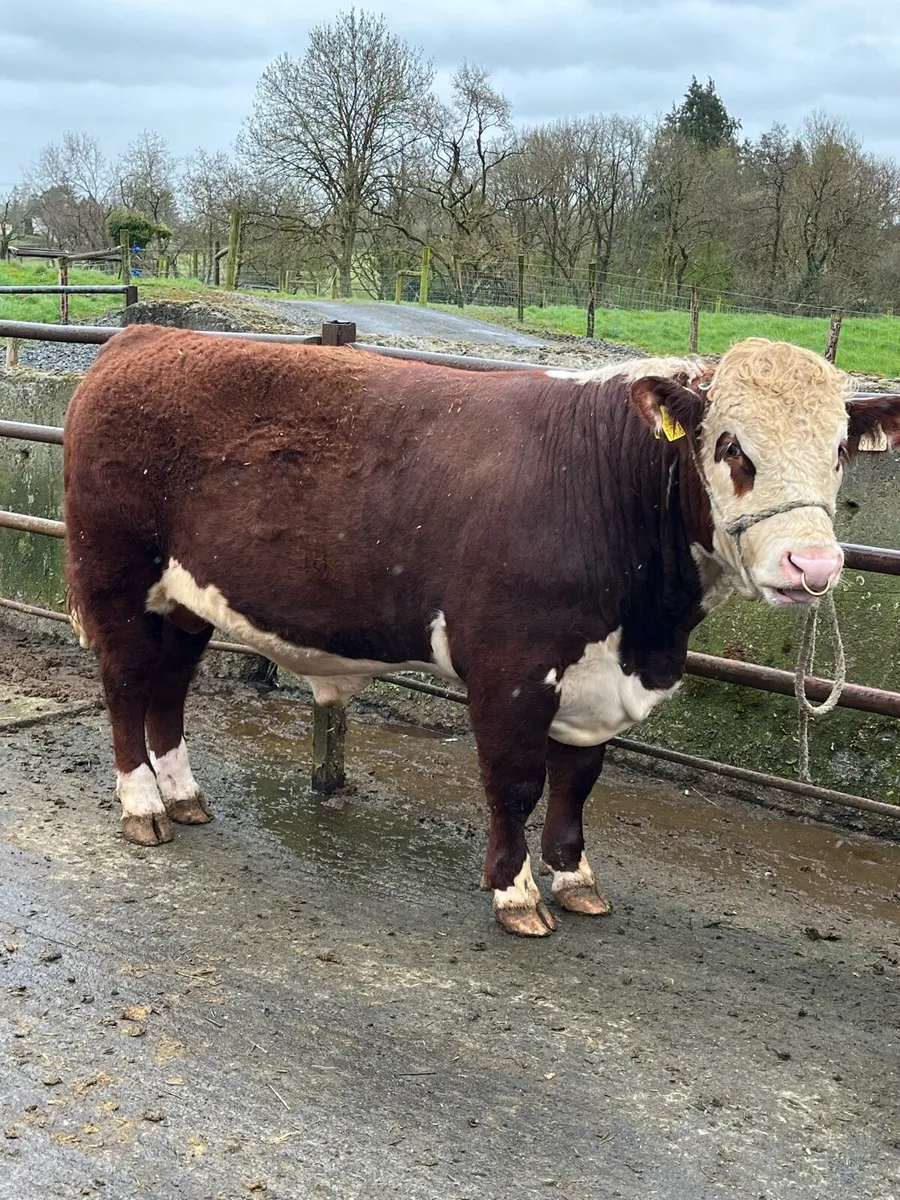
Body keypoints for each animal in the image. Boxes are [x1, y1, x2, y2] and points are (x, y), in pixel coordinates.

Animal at [63, 328, 900, 936]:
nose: (813, 564)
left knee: (169, 687)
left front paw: (575, 877)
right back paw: (141, 806)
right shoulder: (511, 668)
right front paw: (516, 891)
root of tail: (142, 337)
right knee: (125, 683)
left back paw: (183, 795)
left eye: (839, 451)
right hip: (115, 575)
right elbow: (516, 781)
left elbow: (579, 778)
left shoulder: (595, 675)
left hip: (185, 600)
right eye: (731, 446)